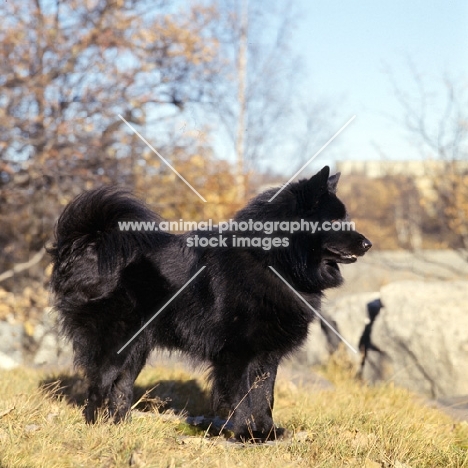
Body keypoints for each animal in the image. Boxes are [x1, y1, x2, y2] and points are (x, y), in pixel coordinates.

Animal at [47, 166, 372, 440]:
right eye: (334, 222)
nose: (367, 243)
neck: (272, 261)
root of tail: (88, 243)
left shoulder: (267, 356)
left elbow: (265, 396)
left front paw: (266, 433)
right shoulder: (238, 354)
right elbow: (243, 398)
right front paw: (244, 435)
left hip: (137, 347)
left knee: (121, 386)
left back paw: (120, 426)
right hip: (115, 341)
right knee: (99, 385)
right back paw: (96, 427)